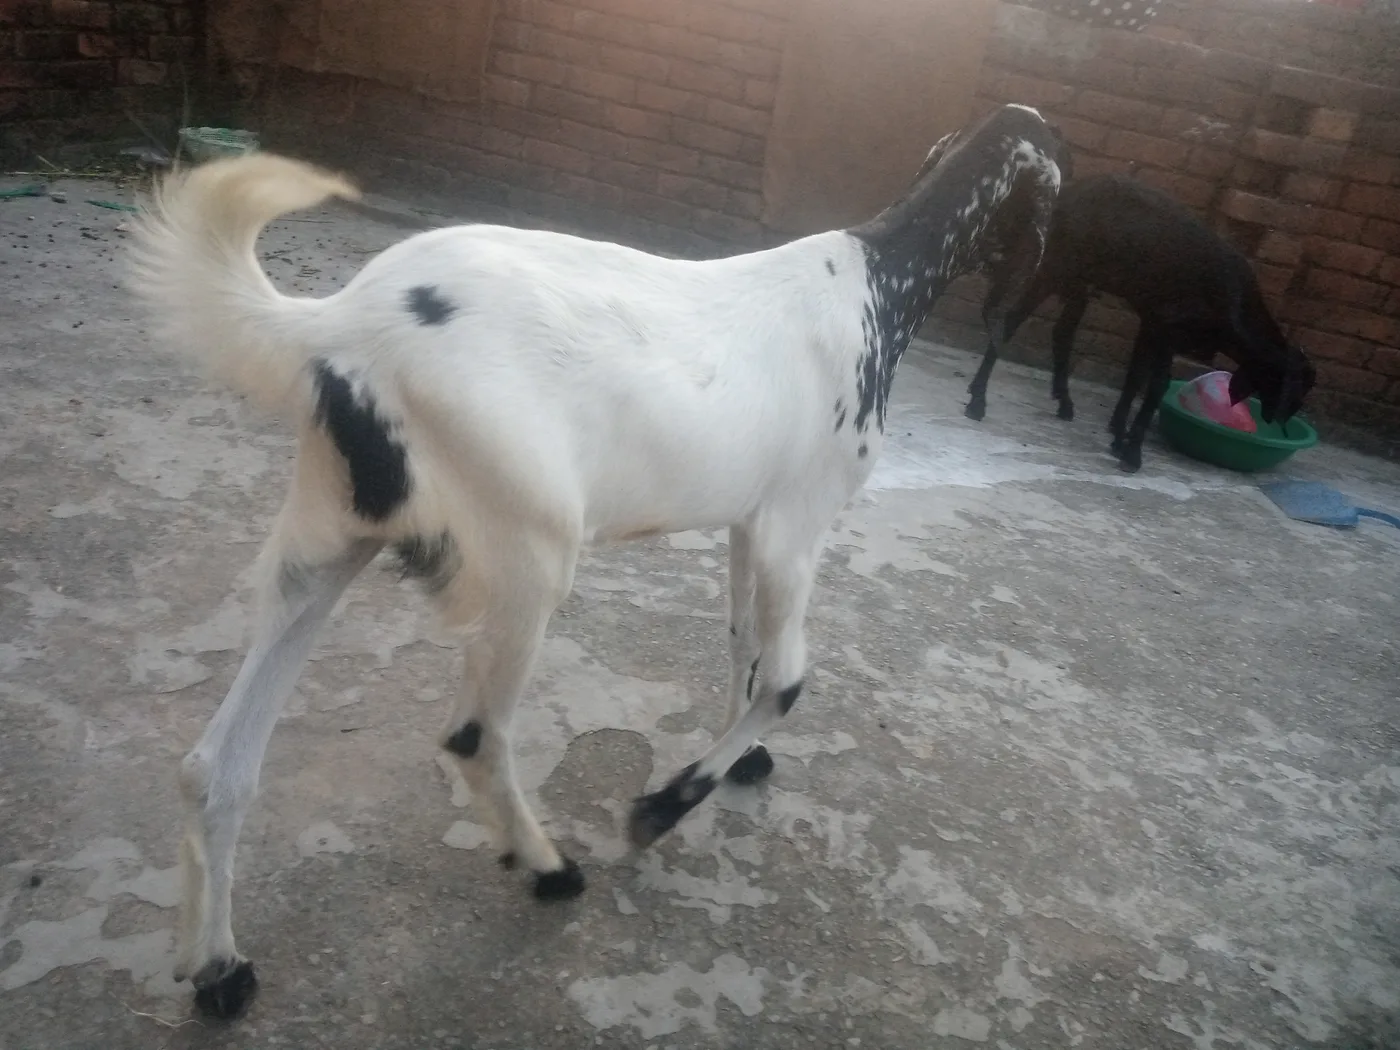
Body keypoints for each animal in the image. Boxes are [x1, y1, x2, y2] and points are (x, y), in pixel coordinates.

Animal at [129, 103, 1065, 1018]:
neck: (878, 288)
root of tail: (339, 326)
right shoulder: (798, 525)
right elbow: (790, 681)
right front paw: (662, 806)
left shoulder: (749, 522)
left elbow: (742, 644)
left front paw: (740, 756)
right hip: (529, 548)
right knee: (474, 736)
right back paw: (548, 869)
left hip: (328, 540)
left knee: (217, 764)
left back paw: (218, 968)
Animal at [963, 173, 1316, 472]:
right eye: (1293, 388)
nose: (1284, 422)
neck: (1233, 306)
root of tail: (1065, 196)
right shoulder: (1166, 328)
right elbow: (1156, 385)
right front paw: (1132, 451)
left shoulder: (1150, 324)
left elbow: (1135, 377)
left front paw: (1119, 434)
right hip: (1054, 268)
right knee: (1009, 322)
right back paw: (978, 400)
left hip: (1081, 282)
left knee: (1063, 331)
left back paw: (1063, 401)